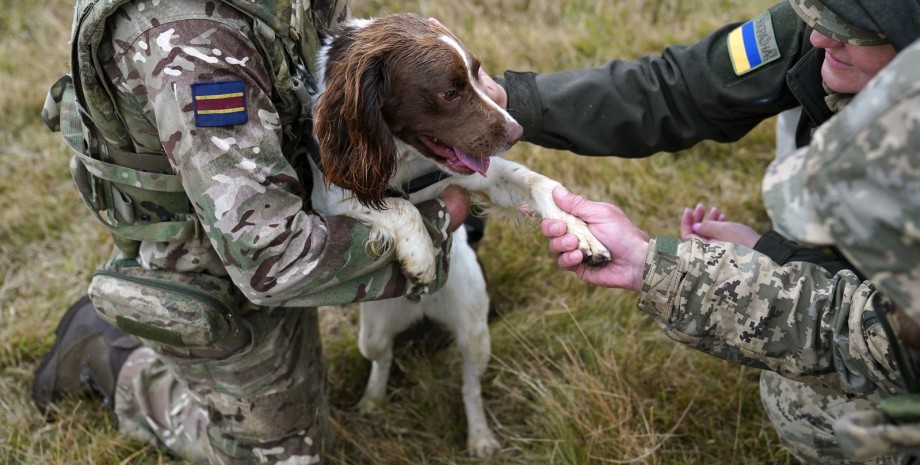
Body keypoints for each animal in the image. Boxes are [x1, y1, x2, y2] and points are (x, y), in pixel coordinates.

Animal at [310, 13, 612, 456]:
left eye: (477, 74)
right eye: (449, 92)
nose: (517, 130)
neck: (406, 161)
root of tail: (422, 310)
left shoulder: (480, 177)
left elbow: (537, 182)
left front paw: (580, 232)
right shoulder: (328, 195)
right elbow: (396, 206)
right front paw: (420, 254)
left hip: (474, 332)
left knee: (470, 387)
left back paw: (480, 436)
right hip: (373, 334)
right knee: (382, 359)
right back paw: (373, 400)